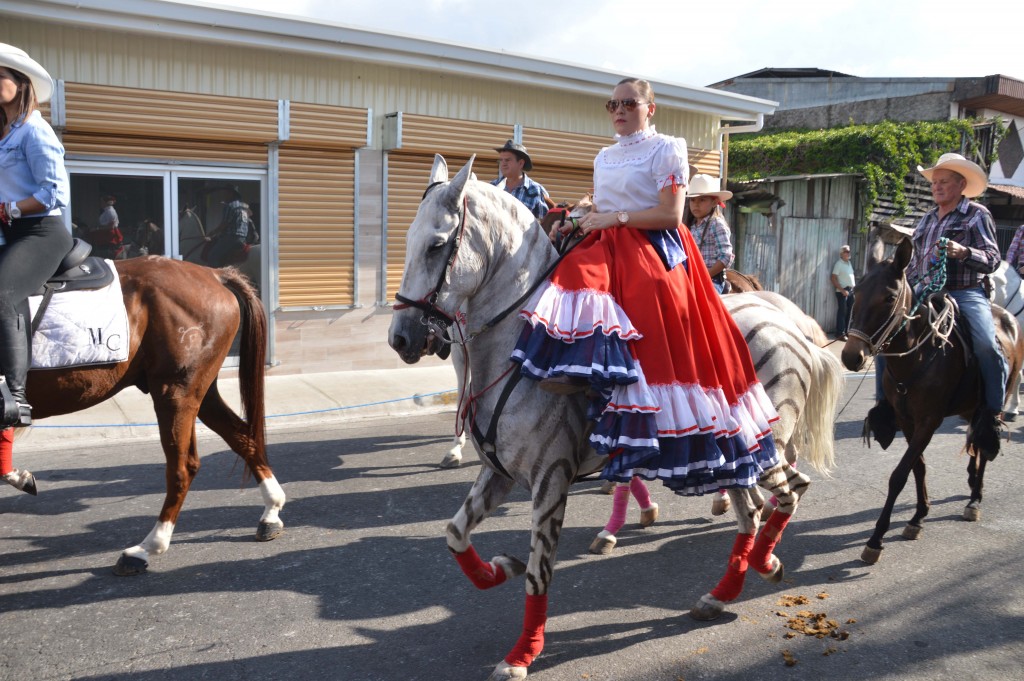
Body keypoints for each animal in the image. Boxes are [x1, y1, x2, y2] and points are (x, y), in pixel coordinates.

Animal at [19, 254, 282, 573]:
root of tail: (214, 275)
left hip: (175, 393)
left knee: (183, 468)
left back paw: (147, 547)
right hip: (199, 393)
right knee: (243, 438)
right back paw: (271, 512)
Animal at [389, 155, 839, 679]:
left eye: (437, 244)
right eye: (408, 240)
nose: (401, 337)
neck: (516, 345)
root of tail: (794, 326)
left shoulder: (551, 477)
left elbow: (539, 574)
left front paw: (522, 654)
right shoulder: (498, 472)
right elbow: (456, 534)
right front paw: (500, 568)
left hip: (762, 446)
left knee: (789, 493)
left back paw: (767, 564)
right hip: (730, 460)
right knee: (751, 512)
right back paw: (721, 593)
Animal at [839, 238, 1024, 561]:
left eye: (889, 297)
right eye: (856, 292)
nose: (852, 356)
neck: (920, 355)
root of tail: (1007, 316)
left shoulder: (929, 421)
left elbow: (900, 474)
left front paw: (876, 539)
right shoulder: (907, 421)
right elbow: (919, 467)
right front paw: (918, 516)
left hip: (994, 401)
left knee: (984, 441)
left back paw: (975, 499)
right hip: (970, 407)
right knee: (974, 440)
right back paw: (971, 483)